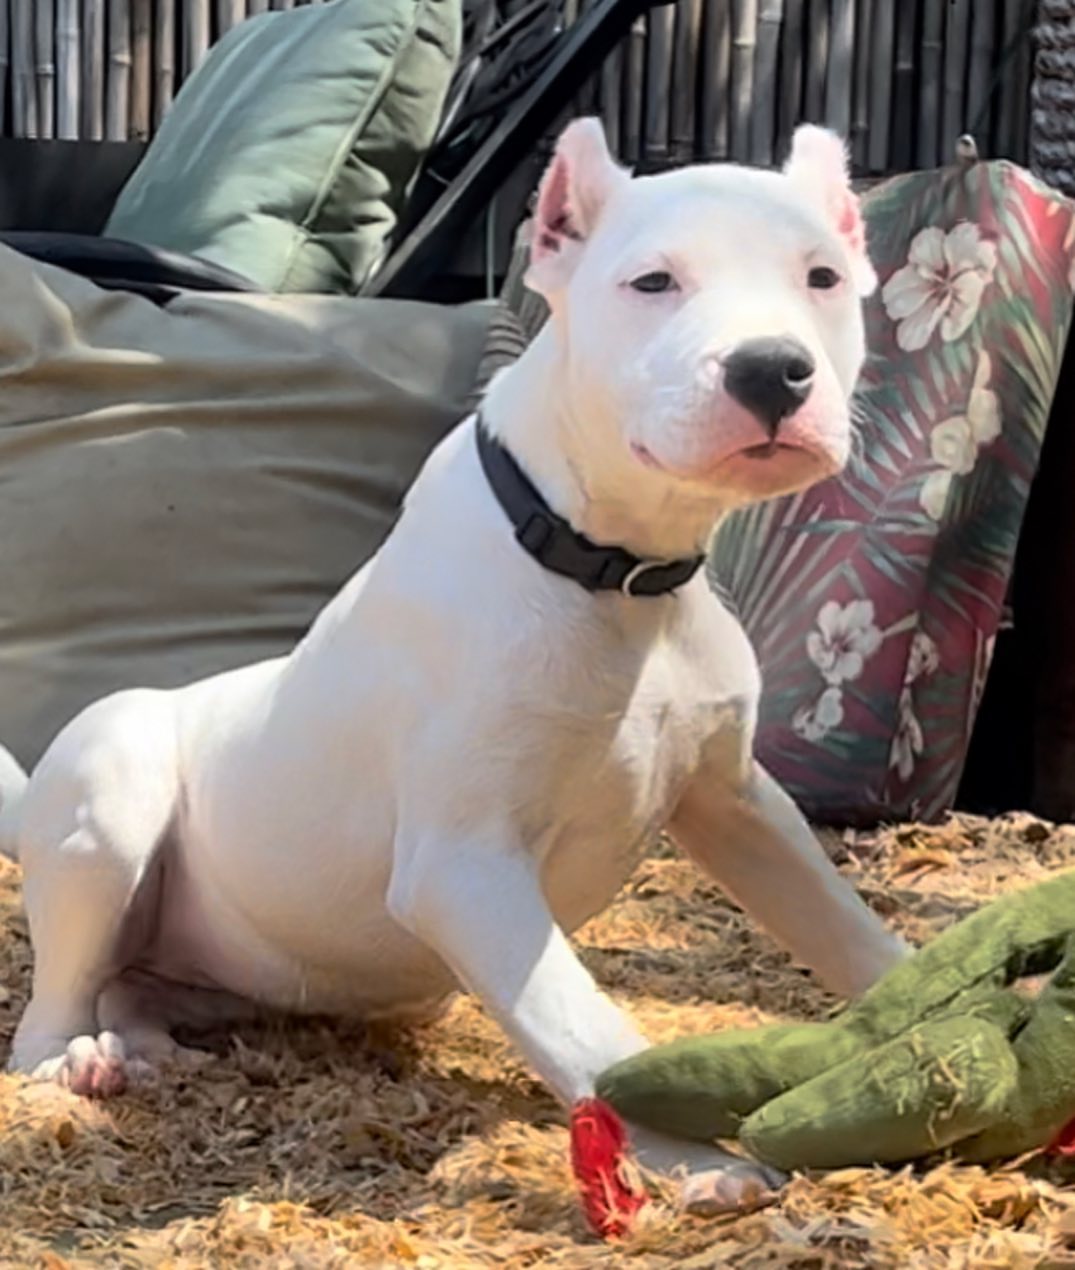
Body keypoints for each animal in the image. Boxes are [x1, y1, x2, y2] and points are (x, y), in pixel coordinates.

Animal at [0, 117, 907, 1210]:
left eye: (822, 277)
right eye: (651, 282)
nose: (772, 371)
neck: (610, 570)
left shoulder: (738, 804)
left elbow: (847, 928)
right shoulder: (465, 864)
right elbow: (590, 1030)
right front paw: (697, 1163)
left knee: (134, 985)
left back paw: (144, 1042)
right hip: (113, 782)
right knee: (51, 1005)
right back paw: (78, 1060)